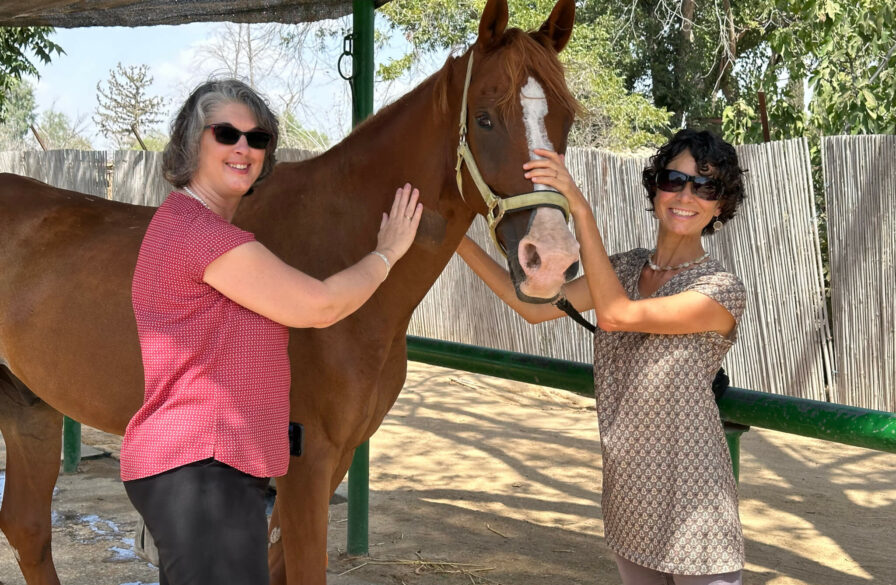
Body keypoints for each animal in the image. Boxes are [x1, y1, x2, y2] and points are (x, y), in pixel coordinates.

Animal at [0, 0, 580, 583]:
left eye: (566, 119)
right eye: (484, 118)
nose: (551, 259)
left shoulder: (335, 459)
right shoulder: (305, 464)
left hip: (31, 410)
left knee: (27, 528)